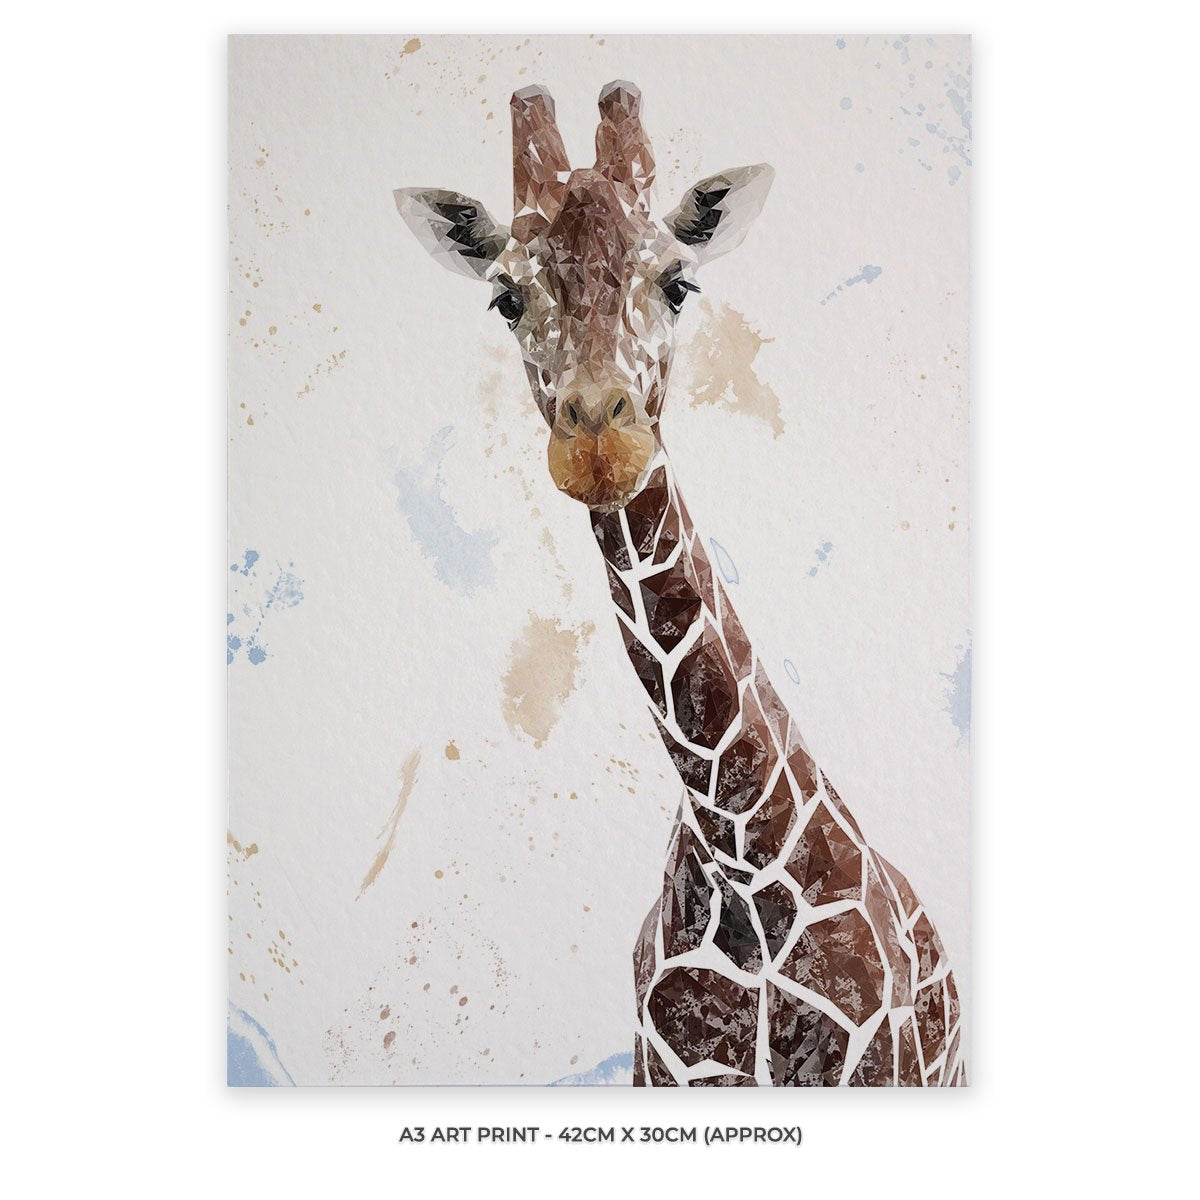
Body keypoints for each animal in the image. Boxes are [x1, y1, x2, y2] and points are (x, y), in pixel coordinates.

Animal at [395, 81, 966, 1086]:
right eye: (506, 298)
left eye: (678, 283)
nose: (597, 440)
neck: (742, 858)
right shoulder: (662, 1072)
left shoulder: (880, 1068)